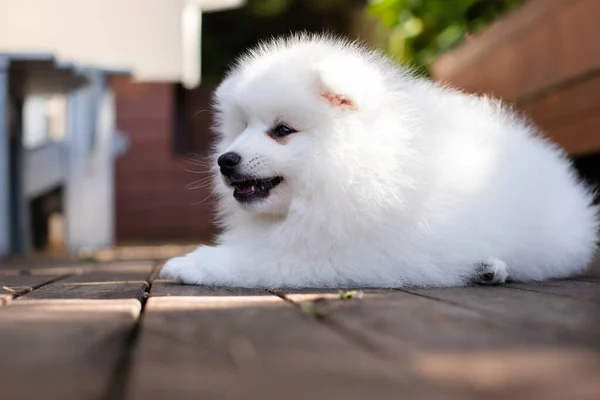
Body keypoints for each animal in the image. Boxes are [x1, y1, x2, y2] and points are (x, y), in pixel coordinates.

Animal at [161, 32, 600, 286]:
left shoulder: (350, 253)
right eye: (242, 127)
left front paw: (189, 264)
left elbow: (262, 260)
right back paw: (486, 269)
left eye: (282, 130)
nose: (226, 160)